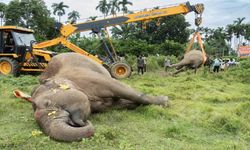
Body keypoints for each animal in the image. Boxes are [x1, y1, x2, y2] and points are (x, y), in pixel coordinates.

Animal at [22, 52, 169, 142]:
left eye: (48, 104)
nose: (81, 122)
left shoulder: (89, 77)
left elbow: (121, 88)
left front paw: (165, 101)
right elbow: (115, 104)